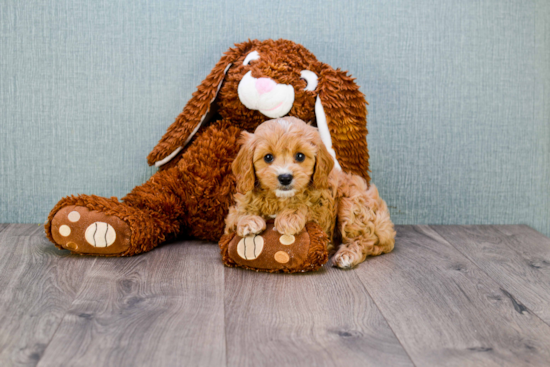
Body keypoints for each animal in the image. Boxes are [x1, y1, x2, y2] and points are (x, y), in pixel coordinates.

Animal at [225, 116, 396, 268]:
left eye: (300, 156)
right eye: (268, 157)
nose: (285, 177)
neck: (280, 199)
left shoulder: (322, 211)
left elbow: (306, 206)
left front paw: (289, 217)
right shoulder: (232, 216)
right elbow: (237, 215)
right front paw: (249, 220)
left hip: (352, 204)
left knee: (364, 240)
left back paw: (346, 255)